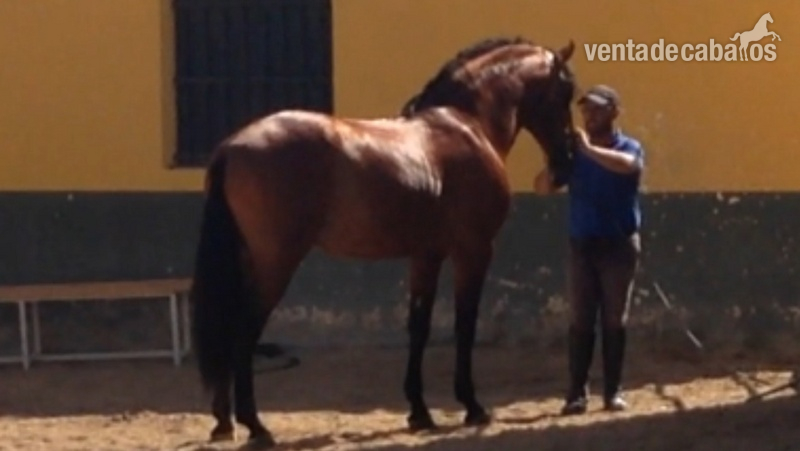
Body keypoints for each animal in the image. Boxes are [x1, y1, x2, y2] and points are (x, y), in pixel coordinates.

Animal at [189, 35, 579, 449]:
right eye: (564, 93)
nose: (565, 164)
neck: (465, 123)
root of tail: (231, 146)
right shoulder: (473, 251)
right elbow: (465, 324)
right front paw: (472, 406)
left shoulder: (427, 255)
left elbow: (419, 326)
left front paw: (420, 411)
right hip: (275, 265)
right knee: (243, 332)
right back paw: (255, 425)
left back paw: (224, 422)